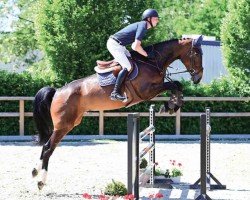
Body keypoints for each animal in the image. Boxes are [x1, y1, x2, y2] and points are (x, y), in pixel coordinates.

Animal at [31, 35, 203, 189]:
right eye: (197, 55)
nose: (198, 78)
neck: (152, 62)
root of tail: (58, 92)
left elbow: (177, 85)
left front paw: (171, 105)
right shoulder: (147, 91)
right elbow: (175, 84)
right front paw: (170, 106)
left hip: (70, 123)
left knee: (46, 147)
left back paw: (34, 172)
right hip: (63, 125)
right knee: (48, 148)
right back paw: (41, 181)